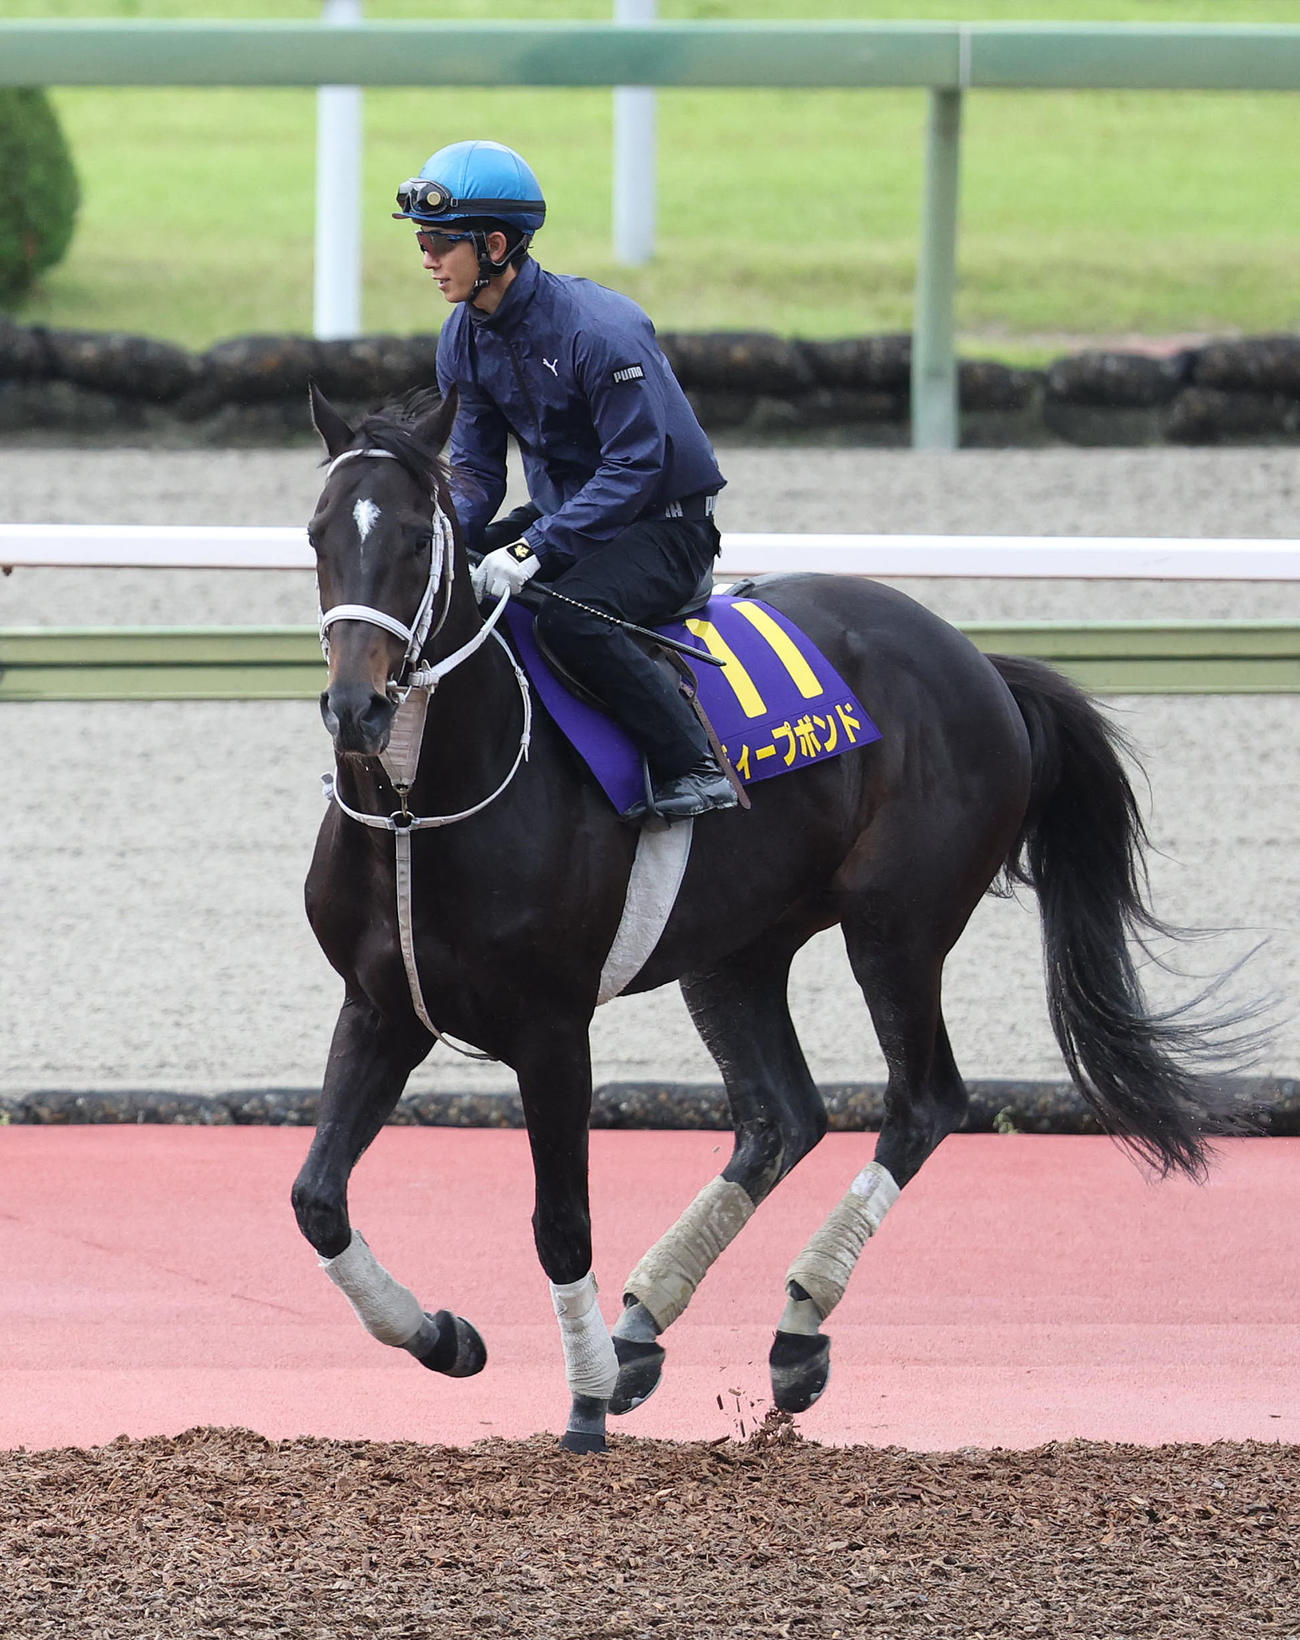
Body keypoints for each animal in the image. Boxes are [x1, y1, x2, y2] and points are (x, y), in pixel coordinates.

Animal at [291, 385, 1254, 1454]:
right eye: (317, 533)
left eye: (420, 538)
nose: (355, 706)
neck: (419, 813)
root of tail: (977, 660)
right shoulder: (381, 1008)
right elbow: (317, 1199)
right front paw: (444, 1336)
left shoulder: (553, 1028)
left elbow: (561, 1222)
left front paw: (581, 1404)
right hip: (736, 951)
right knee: (782, 1117)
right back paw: (642, 1327)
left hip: (898, 928)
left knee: (923, 1104)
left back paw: (794, 1326)